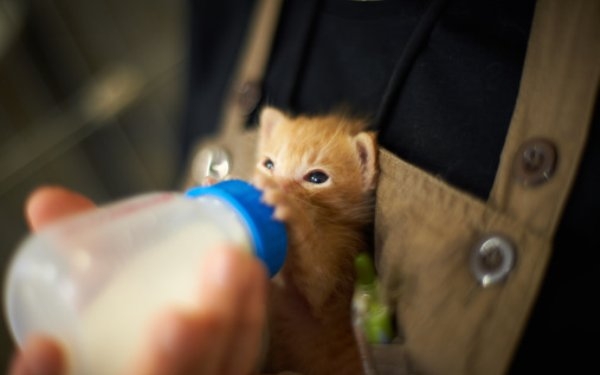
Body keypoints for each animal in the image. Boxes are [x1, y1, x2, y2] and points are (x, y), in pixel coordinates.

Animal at [254, 106, 380, 375]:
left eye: (316, 178)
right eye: (269, 164)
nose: (276, 184)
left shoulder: (339, 261)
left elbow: (317, 276)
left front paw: (290, 208)